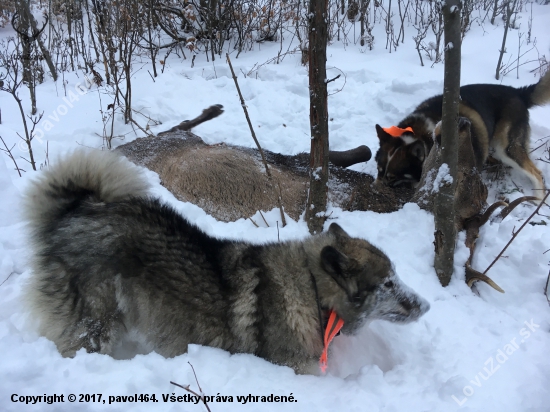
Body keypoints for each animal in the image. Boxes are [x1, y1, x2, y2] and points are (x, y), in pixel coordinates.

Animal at [378, 71, 550, 198]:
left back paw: (537, 201)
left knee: (537, 174)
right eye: (379, 170)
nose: (376, 189)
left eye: (393, 177)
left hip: (506, 148)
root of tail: (518, 92)